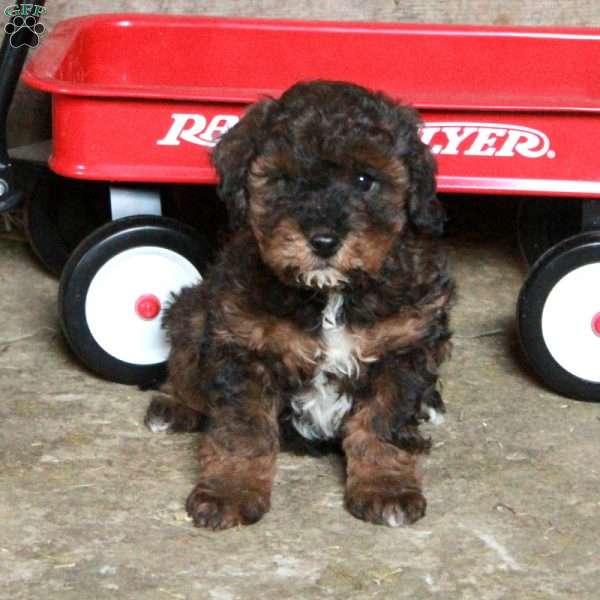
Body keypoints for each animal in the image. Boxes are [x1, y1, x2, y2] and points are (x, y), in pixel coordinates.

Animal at [146, 79, 454, 528]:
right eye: (285, 180)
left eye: (364, 179)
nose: (324, 240)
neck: (330, 294)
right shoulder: (242, 345)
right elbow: (243, 432)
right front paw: (231, 491)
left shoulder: (403, 345)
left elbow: (381, 424)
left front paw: (385, 487)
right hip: (194, 309)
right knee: (185, 363)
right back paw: (174, 406)